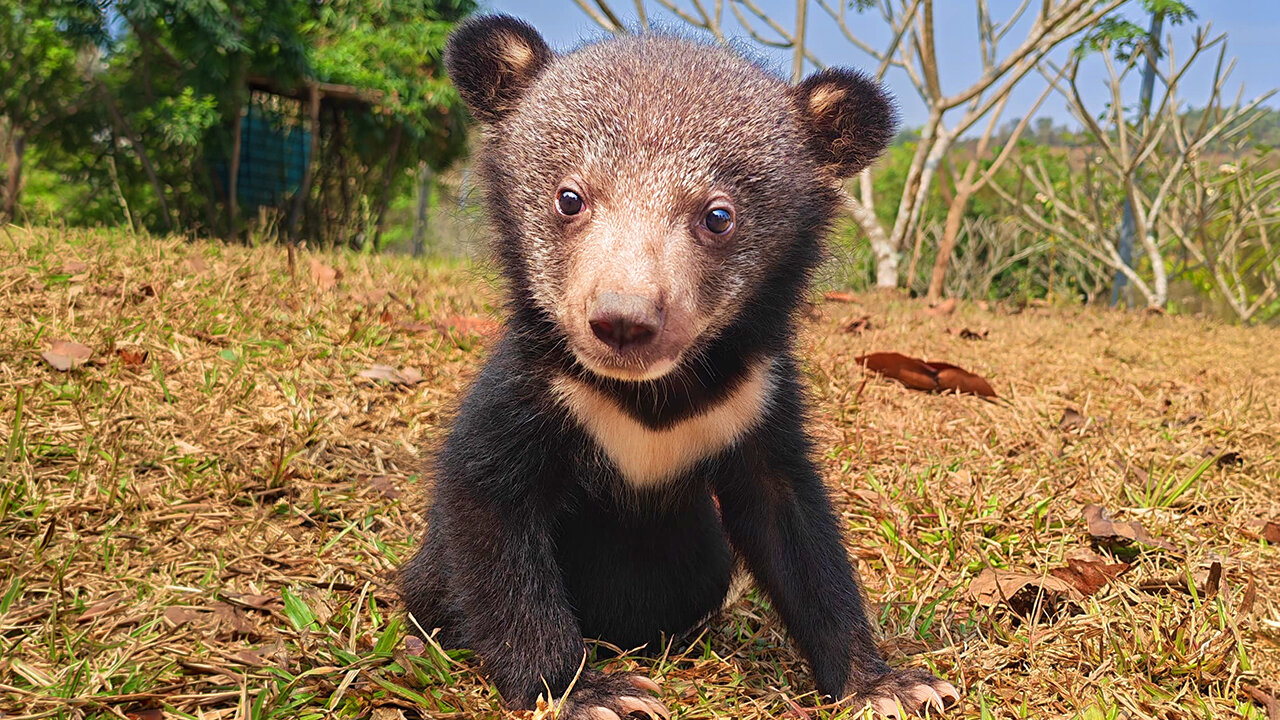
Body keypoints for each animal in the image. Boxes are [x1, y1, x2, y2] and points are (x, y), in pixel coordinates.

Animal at [399, 13, 960, 720]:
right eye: (569, 199)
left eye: (718, 216)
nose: (623, 322)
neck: (653, 393)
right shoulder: (535, 385)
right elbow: (487, 501)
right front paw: (589, 693)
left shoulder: (756, 398)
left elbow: (793, 526)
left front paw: (888, 684)